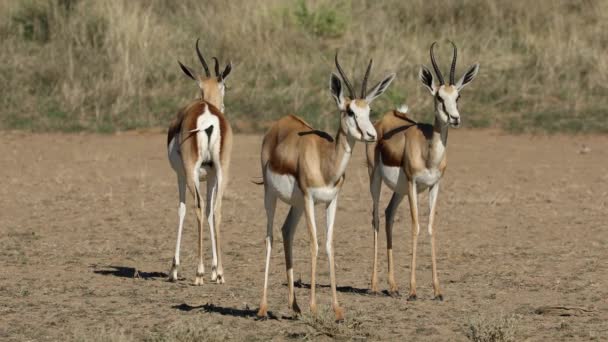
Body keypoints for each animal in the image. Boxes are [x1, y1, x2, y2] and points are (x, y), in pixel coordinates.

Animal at [166, 39, 233, 286]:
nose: (223, 106)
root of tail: (208, 115)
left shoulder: (181, 174)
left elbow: (182, 209)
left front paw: (174, 269)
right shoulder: (211, 175)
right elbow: (211, 213)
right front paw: (215, 270)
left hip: (192, 172)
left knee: (198, 206)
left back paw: (199, 273)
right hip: (223, 171)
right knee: (217, 208)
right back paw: (220, 273)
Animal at [255, 53, 394, 320]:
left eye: (369, 109)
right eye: (349, 111)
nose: (371, 134)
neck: (325, 161)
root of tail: (279, 125)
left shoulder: (331, 201)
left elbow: (329, 245)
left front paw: (337, 309)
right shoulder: (310, 199)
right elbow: (314, 244)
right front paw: (314, 306)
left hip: (297, 204)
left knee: (286, 231)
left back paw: (294, 307)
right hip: (271, 195)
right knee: (269, 237)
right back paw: (263, 308)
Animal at [366, 42, 480, 300]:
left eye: (458, 95)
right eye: (439, 97)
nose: (455, 118)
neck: (428, 151)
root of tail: (386, 119)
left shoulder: (434, 186)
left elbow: (430, 227)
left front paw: (437, 290)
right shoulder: (412, 183)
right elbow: (416, 227)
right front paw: (413, 290)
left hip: (399, 191)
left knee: (388, 214)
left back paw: (393, 286)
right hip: (376, 180)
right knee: (376, 217)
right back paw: (375, 286)